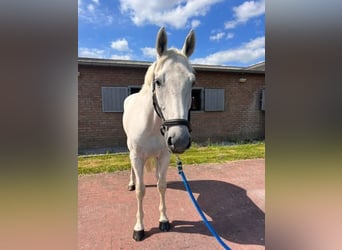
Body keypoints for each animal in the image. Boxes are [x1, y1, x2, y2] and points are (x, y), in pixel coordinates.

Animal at [123, 26, 195, 240]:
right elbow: (140, 191)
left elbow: (161, 185)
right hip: (130, 151)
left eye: (192, 82)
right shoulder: (137, 156)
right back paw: (131, 182)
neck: (153, 125)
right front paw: (139, 227)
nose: (179, 139)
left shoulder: (164, 155)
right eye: (158, 81)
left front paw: (163, 220)